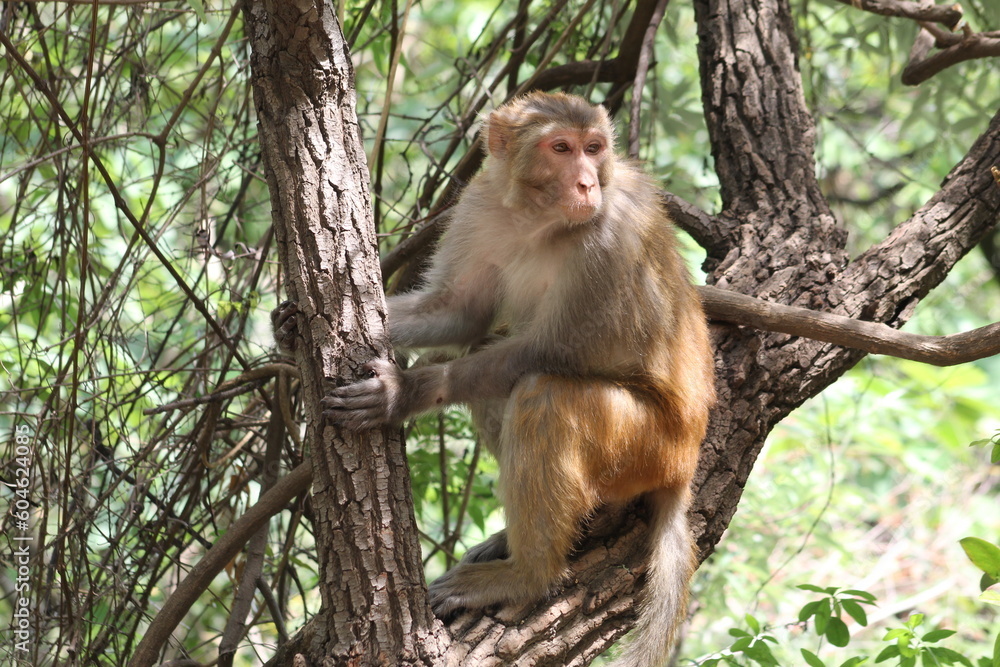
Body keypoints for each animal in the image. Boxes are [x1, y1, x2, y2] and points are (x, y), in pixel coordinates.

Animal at [278, 92, 716, 667]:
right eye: (561, 148)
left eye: (594, 148)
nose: (587, 184)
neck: (537, 218)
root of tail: (685, 465)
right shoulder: (480, 207)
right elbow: (462, 312)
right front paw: (290, 328)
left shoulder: (611, 233)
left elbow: (551, 350)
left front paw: (402, 393)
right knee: (492, 383)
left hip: (651, 447)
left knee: (543, 394)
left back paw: (527, 576)